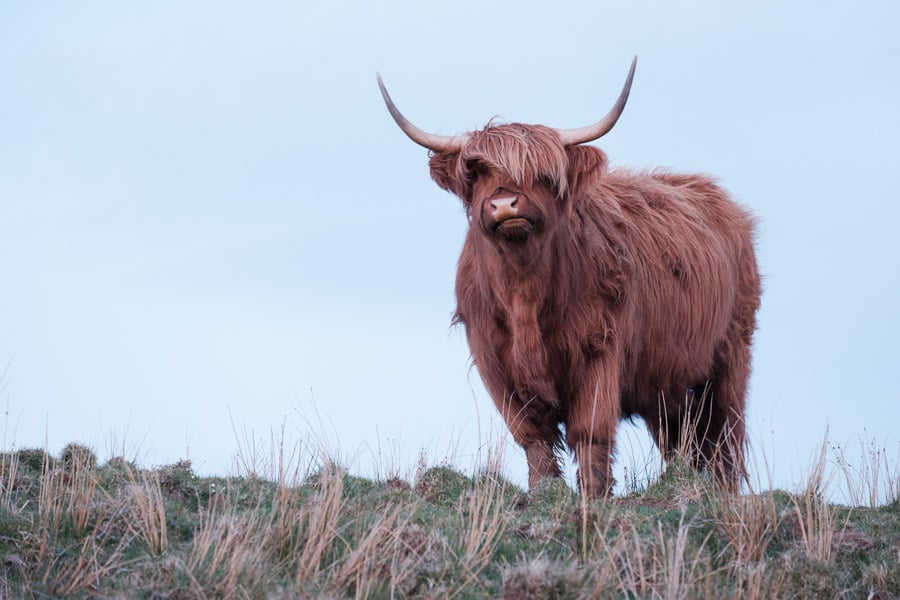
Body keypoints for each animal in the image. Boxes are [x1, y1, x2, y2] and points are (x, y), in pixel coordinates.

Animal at [377, 57, 761, 496]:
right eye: (474, 172)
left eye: (544, 173)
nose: (505, 204)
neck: (524, 295)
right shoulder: (495, 362)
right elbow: (533, 437)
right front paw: (544, 490)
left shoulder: (600, 348)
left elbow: (589, 432)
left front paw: (594, 496)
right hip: (668, 382)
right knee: (681, 438)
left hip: (731, 355)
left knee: (726, 434)